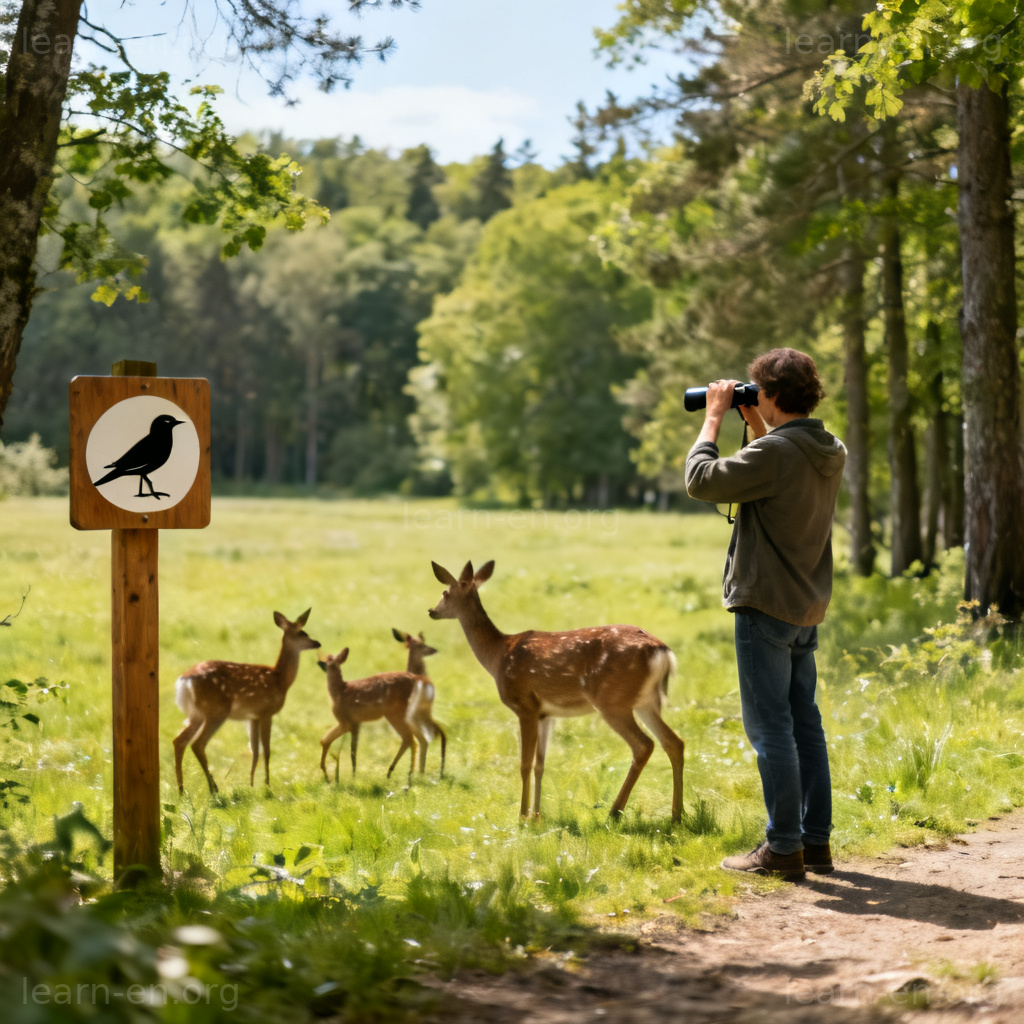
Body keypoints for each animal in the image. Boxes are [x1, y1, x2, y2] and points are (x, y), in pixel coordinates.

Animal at [173, 609, 321, 795]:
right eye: (302, 633)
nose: (317, 642)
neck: (280, 679)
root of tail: (183, 682)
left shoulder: (253, 716)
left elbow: (255, 750)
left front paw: (251, 785)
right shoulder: (266, 712)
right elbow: (267, 750)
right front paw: (267, 785)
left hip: (196, 714)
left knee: (179, 741)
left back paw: (181, 790)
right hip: (216, 710)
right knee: (197, 744)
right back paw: (213, 788)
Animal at [318, 642, 444, 783]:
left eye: (327, 660)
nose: (319, 663)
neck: (339, 691)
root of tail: (418, 680)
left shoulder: (346, 721)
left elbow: (333, 743)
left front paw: (335, 776)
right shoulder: (355, 723)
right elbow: (340, 746)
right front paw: (345, 776)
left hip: (396, 714)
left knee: (411, 739)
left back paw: (403, 775)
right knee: (422, 738)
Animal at [392, 628, 447, 776]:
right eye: (421, 644)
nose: (434, 649)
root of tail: (424, 683)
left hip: (417, 715)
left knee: (431, 735)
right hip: (421, 714)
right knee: (435, 734)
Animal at [428, 560, 684, 822]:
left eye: (445, 592)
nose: (432, 611)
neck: (498, 655)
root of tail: (661, 651)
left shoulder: (525, 705)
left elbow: (525, 764)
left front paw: (522, 816)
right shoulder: (546, 714)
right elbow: (540, 765)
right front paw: (536, 816)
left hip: (613, 700)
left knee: (644, 745)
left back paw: (615, 812)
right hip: (646, 701)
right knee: (674, 742)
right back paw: (676, 814)